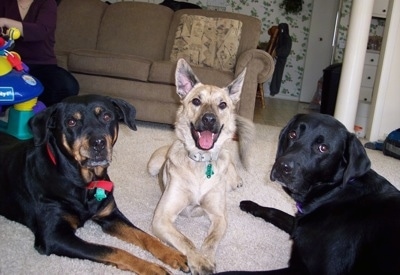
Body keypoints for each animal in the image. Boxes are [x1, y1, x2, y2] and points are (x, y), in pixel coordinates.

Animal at [0, 95, 188, 274]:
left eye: (106, 116)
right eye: (71, 122)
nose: (98, 143)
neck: (84, 183)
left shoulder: (110, 215)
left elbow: (144, 235)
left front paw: (172, 254)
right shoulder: (54, 236)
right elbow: (112, 250)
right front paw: (152, 268)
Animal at [147, 59, 253, 274]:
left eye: (222, 105)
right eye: (196, 101)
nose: (209, 119)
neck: (201, 162)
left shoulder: (220, 217)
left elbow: (211, 241)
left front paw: (206, 258)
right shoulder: (162, 218)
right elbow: (185, 241)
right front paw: (199, 261)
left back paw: (237, 179)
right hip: (153, 166)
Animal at [222, 113, 400, 274]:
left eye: (323, 148)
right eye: (292, 134)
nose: (281, 166)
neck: (331, 193)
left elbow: (237, 273)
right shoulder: (298, 226)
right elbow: (274, 211)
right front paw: (250, 205)